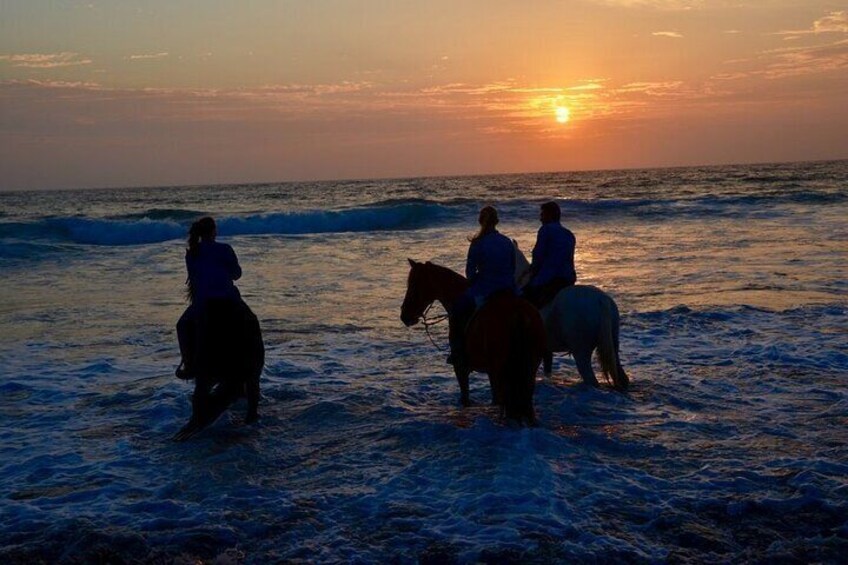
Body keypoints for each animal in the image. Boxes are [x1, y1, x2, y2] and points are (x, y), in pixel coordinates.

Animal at [400, 256, 548, 424]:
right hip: (529, 367)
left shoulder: (461, 368)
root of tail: (518, 312)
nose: (404, 316)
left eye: (414, 285)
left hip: (502, 369)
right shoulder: (490, 371)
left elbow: (466, 398)